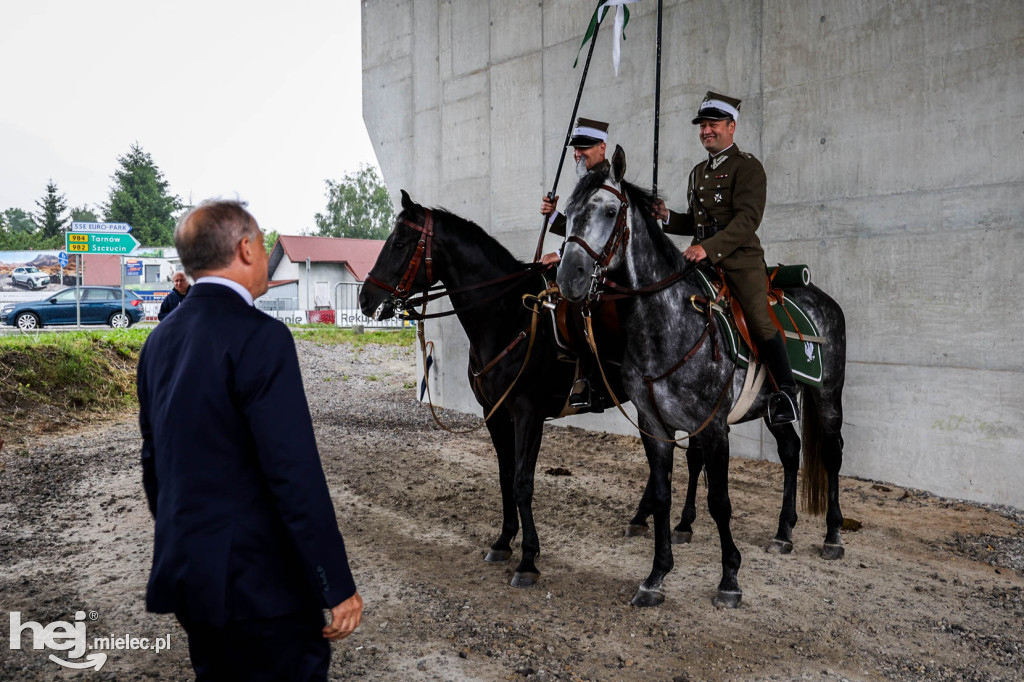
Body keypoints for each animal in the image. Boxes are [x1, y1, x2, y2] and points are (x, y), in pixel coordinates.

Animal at [557, 147, 843, 606]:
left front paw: (729, 579)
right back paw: (784, 531)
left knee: (831, 454)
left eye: (609, 210)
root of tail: (822, 297)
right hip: (774, 406)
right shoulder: (655, 425)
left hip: (828, 395)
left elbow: (720, 501)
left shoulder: (713, 428)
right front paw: (656, 575)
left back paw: (833, 536)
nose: (570, 278)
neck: (667, 324)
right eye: (567, 213)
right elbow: (661, 494)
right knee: (790, 451)